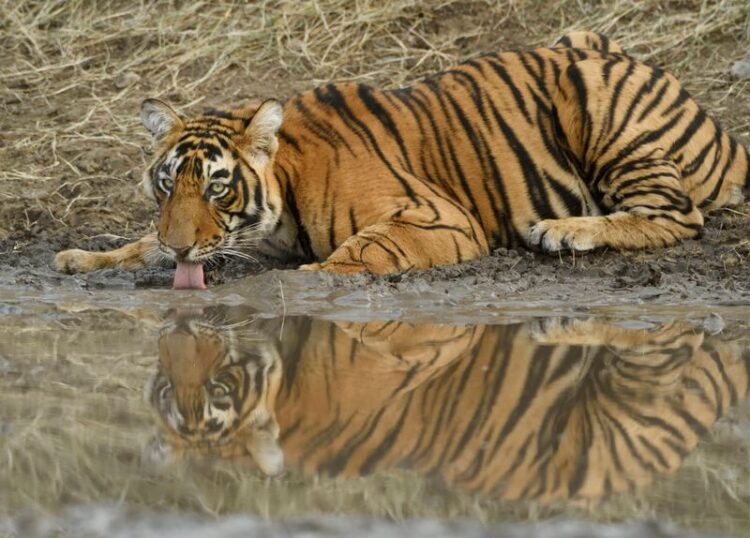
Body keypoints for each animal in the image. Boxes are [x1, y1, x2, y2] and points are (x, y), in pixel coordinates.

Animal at [54, 31, 750, 288]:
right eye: (167, 186)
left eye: (218, 188)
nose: (181, 250)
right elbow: (141, 242)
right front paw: (83, 256)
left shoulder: (438, 216)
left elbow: (365, 249)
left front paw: (310, 278)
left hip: (595, 95)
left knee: (677, 215)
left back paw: (563, 231)